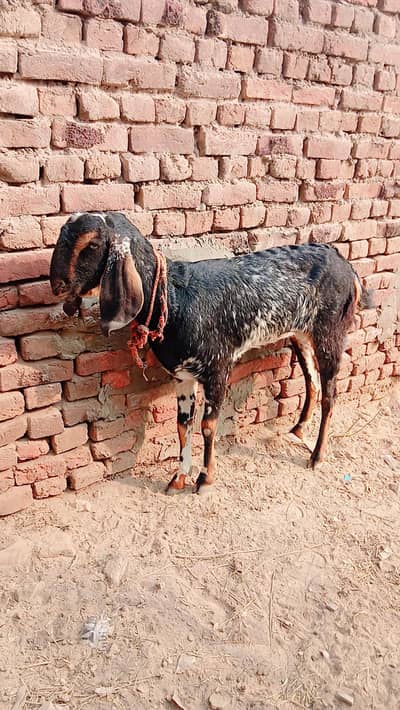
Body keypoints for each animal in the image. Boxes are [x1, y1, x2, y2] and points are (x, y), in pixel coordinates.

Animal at [50, 211, 372, 495]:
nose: (57, 285)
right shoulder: (183, 375)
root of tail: (346, 265)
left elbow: (207, 425)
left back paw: (317, 456)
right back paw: (298, 430)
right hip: (301, 335)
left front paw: (205, 480)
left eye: (92, 245)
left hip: (330, 334)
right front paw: (178, 479)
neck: (174, 298)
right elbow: (182, 426)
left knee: (330, 393)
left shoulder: (218, 368)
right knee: (313, 383)